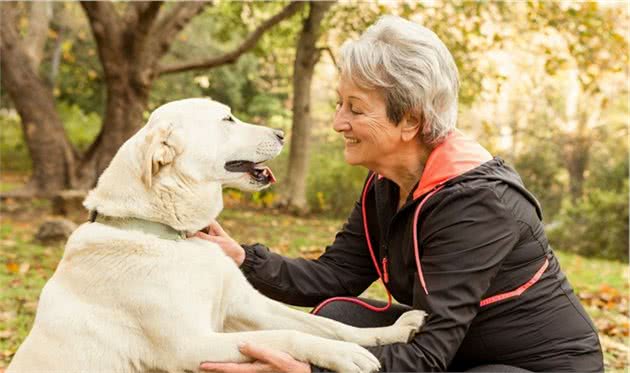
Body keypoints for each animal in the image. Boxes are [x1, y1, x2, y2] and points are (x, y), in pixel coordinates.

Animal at [7, 97, 428, 370]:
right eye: (227, 119)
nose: (281, 133)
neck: (170, 235)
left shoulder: (247, 307)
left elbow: (332, 326)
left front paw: (391, 332)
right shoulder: (193, 345)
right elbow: (286, 338)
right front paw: (344, 356)